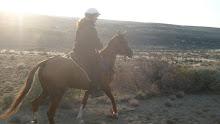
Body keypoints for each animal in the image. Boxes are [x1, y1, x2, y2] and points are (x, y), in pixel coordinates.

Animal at [0, 30, 132, 124]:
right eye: (124, 42)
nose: (131, 53)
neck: (106, 61)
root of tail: (46, 62)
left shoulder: (89, 88)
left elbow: (84, 102)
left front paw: (79, 118)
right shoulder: (105, 86)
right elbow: (112, 98)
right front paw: (115, 113)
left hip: (47, 90)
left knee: (35, 103)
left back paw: (36, 120)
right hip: (58, 92)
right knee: (50, 112)